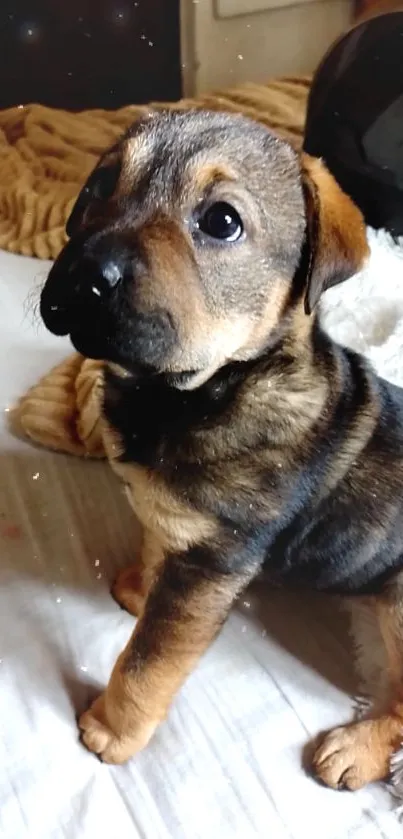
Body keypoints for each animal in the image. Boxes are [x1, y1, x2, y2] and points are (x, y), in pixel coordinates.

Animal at [39, 110, 403, 788]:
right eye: (100, 187)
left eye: (222, 222)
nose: (83, 275)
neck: (200, 391)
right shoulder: (188, 538)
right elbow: (156, 542)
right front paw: (139, 587)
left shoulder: (213, 562)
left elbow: (148, 663)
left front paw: (112, 730)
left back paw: (356, 750)